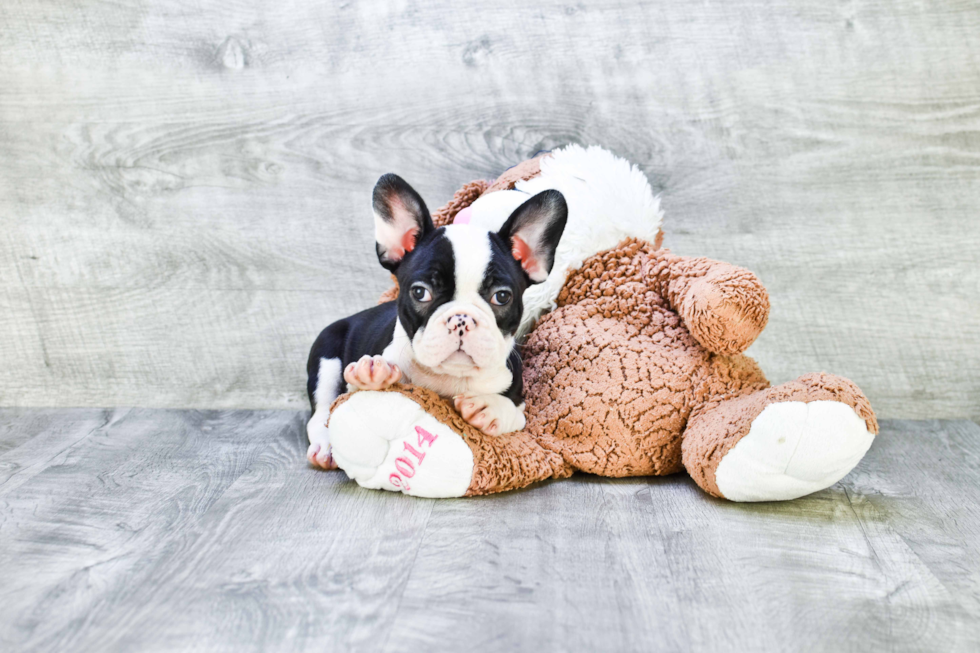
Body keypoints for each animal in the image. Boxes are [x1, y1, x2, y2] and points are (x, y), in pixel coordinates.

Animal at [304, 174, 568, 468]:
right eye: (420, 292)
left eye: (502, 297)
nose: (461, 319)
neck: (451, 377)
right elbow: (349, 394)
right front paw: (371, 372)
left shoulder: (521, 402)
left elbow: (514, 412)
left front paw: (490, 407)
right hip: (326, 357)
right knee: (321, 412)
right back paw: (325, 446)